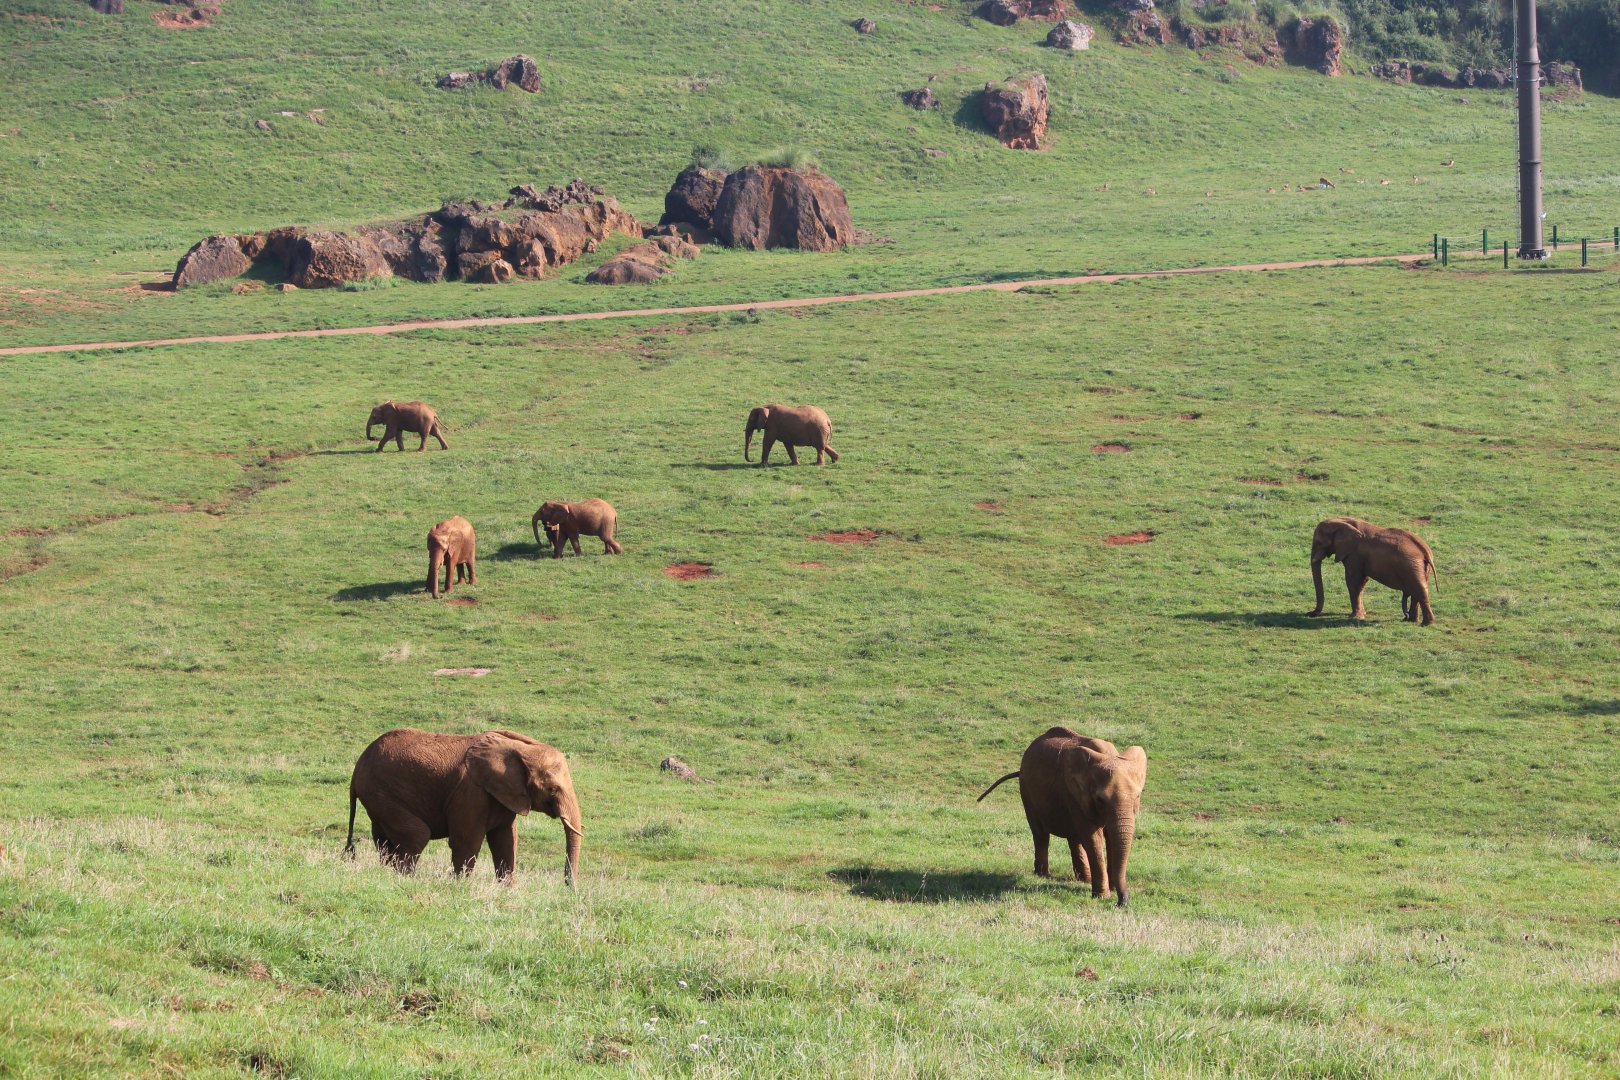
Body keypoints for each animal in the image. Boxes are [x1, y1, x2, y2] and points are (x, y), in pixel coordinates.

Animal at [346, 728, 582, 886]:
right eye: (552, 789)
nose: (569, 888)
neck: (520, 748)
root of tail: (357, 768)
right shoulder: (471, 793)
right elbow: (467, 840)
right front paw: (459, 887)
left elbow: (506, 840)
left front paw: (506, 889)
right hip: (379, 791)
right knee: (417, 835)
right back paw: (404, 879)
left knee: (383, 840)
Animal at [978, 727, 1147, 907]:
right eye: (1100, 799)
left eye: (1138, 796)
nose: (1122, 902)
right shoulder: (1075, 794)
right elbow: (1093, 838)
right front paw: (1102, 897)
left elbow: (1109, 837)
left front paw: (1111, 891)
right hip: (1026, 790)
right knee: (1040, 834)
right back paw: (1043, 876)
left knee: (1073, 838)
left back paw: (1084, 880)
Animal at [1307, 517, 1436, 624]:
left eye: (1319, 542)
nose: (1310, 613)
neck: (1342, 520)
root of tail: (1425, 550)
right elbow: (1362, 582)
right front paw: (1361, 615)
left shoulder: (1354, 555)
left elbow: (1353, 581)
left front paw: (1354, 617)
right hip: (1420, 567)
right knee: (1416, 591)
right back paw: (1410, 621)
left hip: (1412, 566)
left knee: (1420, 589)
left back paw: (1426, 624)